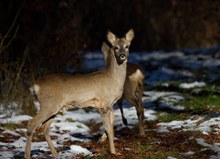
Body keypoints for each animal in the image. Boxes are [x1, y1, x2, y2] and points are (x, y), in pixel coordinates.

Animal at [24, 28, 134, 159]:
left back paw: (56, 154)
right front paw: (113, 151)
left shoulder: (110, 105)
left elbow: (111, 125)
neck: (113, 79)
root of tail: (35, 86)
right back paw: (27, 155)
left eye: (127, 46)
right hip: (49, 104)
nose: (122, 55)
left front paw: (101, 140)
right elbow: (109, 128)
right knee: (32, 123)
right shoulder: (103, 104)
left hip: (53, 107)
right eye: (116, 47)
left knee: (44, 128)